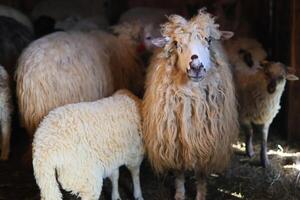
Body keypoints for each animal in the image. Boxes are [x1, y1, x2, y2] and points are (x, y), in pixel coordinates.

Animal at [142, 9, 238, 200]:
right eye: (176, 43)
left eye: (209, 40)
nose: (196, 66)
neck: (192, 95)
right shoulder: (175, 141)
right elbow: (179, 174)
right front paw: (180, 194)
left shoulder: (205, 142)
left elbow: (201, 174)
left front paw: (200, 195)